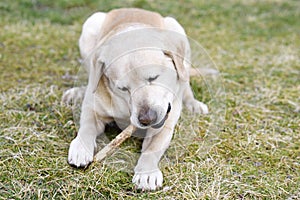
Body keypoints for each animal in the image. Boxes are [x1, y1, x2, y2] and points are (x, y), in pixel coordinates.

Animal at [63, 8, 209, 191]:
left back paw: (193, 103)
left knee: (185, 79)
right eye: (123, 88)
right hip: (91, 26)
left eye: (153, 77)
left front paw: (147, 172)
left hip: (177, 30)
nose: (147, 119)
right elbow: (87, 126)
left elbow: (152, 148)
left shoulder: (165, 124)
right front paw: (81, 147)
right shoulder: (93, 109)